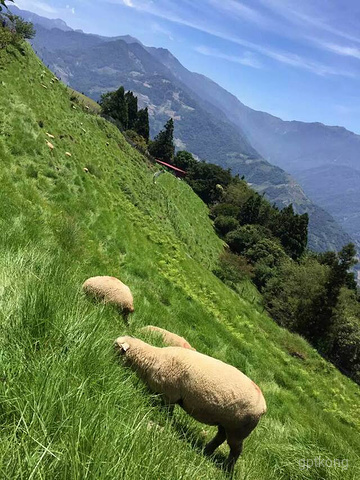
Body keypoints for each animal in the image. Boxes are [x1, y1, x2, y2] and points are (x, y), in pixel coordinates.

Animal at [114, 336, 266, 470]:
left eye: (115, 348)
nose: (109, 362)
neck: (154, 358)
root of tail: (263, 407)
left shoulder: (170, 395)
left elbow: (166, 412)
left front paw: (164, 420)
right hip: (227, 423)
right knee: (220, 437)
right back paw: (206, 451)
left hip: (238, 429)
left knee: (236, 450)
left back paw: (227, 468)